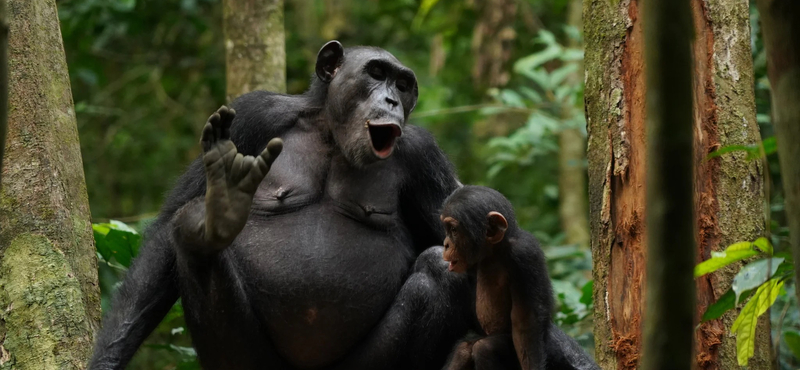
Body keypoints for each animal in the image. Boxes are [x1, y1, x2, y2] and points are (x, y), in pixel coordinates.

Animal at [87, 41, 592, 370]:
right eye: (375, 73)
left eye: (404, 84)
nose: (392, 98)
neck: (331, 130)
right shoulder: (252, 112)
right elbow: (162, 236)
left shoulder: (424, 157)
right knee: (188, 237)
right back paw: (206, 229)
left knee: (439, 269)